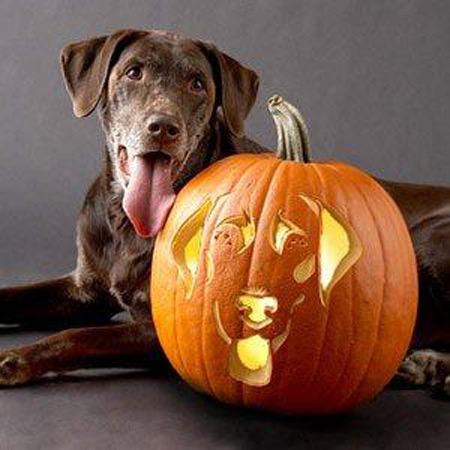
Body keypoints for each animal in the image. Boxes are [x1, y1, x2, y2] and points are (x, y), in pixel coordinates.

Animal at [0, 28, 450, 396]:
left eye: (197, 83)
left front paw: (17, 358)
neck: (127, 224)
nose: (163, 127)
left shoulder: (164, 328)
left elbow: (80, 335)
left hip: (426, 240)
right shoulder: (84, 289)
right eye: (133, 73)